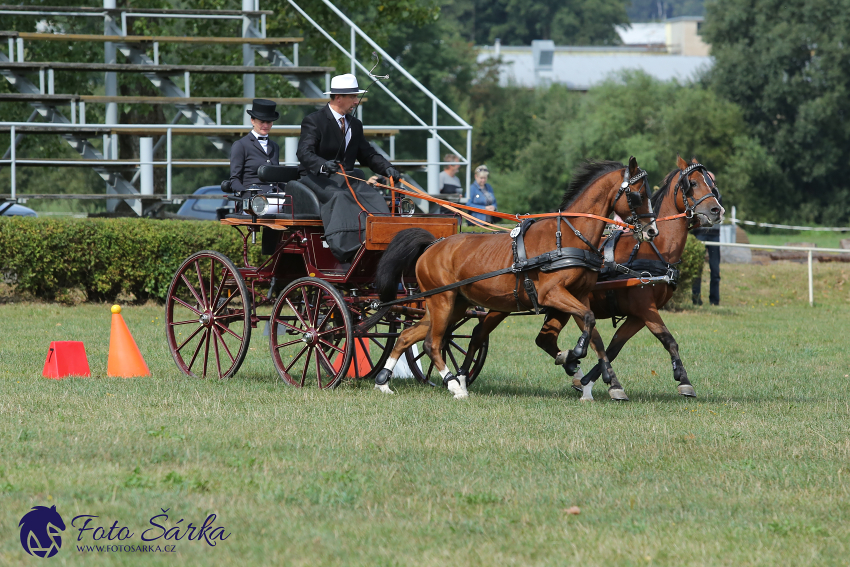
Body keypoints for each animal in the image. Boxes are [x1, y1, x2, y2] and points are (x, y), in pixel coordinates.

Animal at [370, 156, 656, 400]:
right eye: (638, 194)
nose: (652, 231)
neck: (568, 238)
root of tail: (432, 244)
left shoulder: (580, 295)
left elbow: (594, 332)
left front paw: (606, 379)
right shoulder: (552, 294)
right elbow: (588, 320)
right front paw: (573, 354)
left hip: (451, 305)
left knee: (408, 336)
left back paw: (384, 382)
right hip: (442, 301)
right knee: (433, 343)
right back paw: (454, 385)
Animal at [532, 158, 720, 402]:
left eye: (712, 184)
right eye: (694, 183)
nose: (717, 210)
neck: (656, 250)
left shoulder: (639, 314)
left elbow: (614, 346)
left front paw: (592, 382)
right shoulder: (645, 308)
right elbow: (667, 339)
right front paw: (683, 380)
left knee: (546, 340)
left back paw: (573, 368)